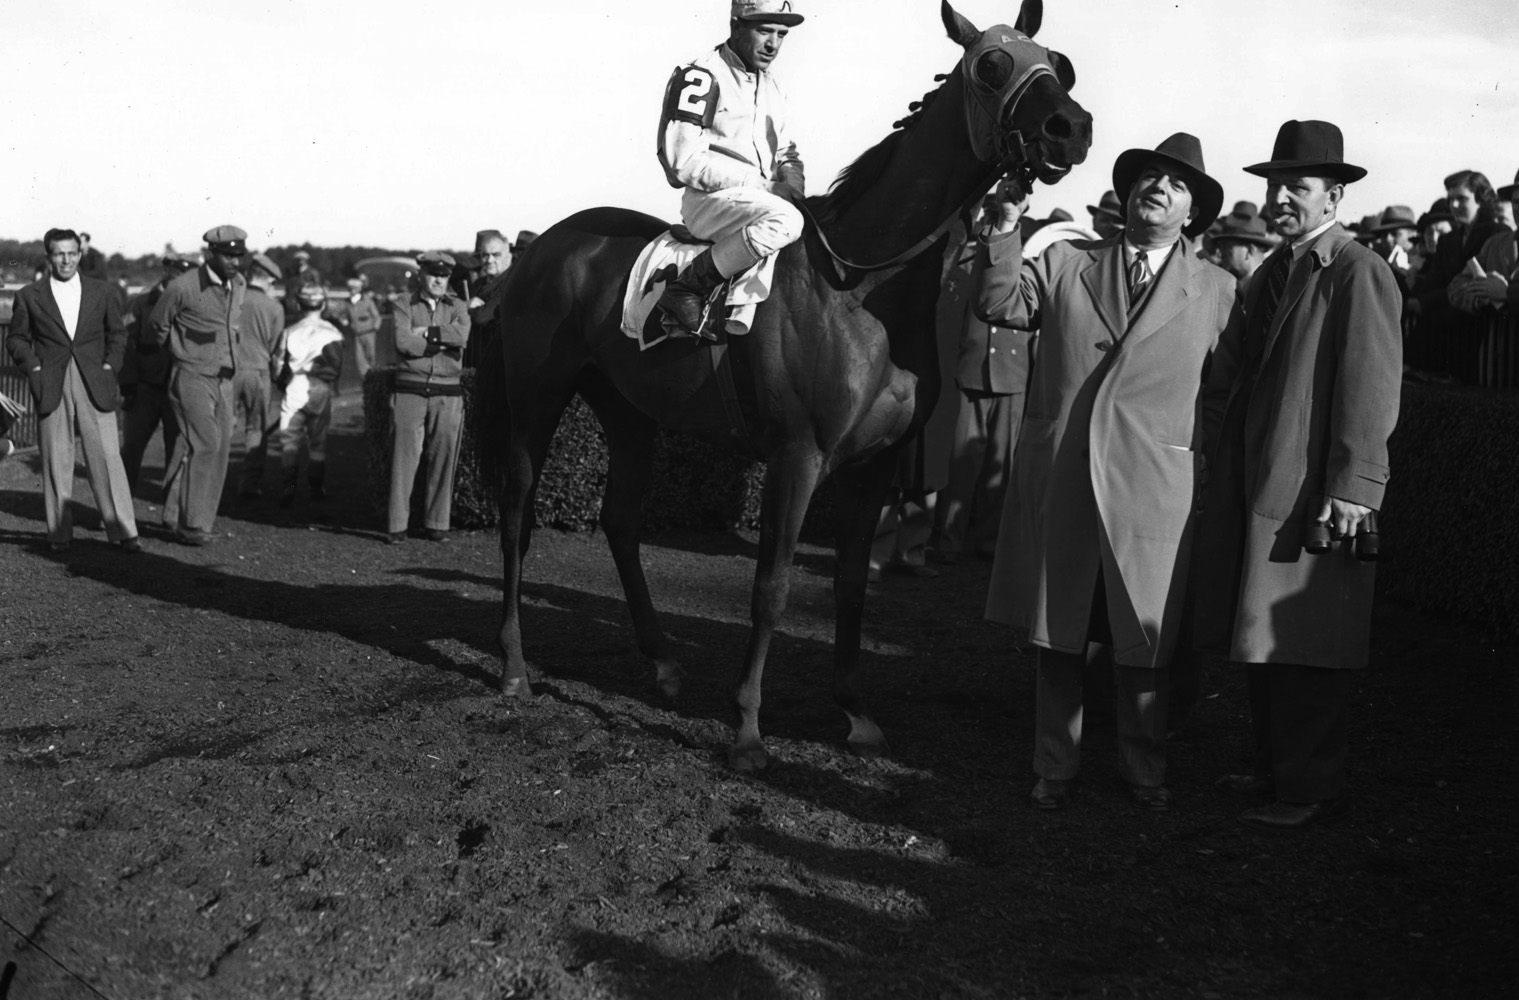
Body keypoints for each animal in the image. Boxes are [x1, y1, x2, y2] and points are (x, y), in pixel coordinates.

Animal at [473, 0, 1093, 765]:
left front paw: (854, 710)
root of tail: (542, 247)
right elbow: (771, 586)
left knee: (619, 520)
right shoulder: (798, 456)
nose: (1070, 127)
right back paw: (513, 665)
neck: (862, 288)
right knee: (516, 515)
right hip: (536, 398)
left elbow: (852, 585)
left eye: (1058, 64)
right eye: (990, 67)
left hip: (628, 410)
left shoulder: (877, 464)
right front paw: (745, 728)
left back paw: (663, 661)